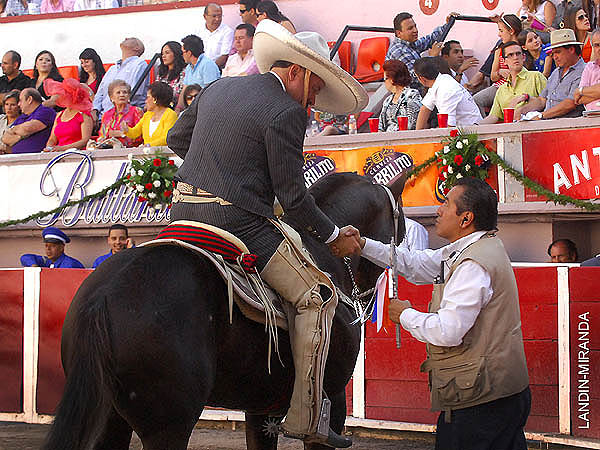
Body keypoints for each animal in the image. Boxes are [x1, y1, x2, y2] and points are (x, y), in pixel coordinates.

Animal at [44, 172, 406, 450]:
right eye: (400, 225)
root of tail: (103, 296)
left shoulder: (261, 410)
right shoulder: (332, 401)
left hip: (110, 418)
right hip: (168, 424)